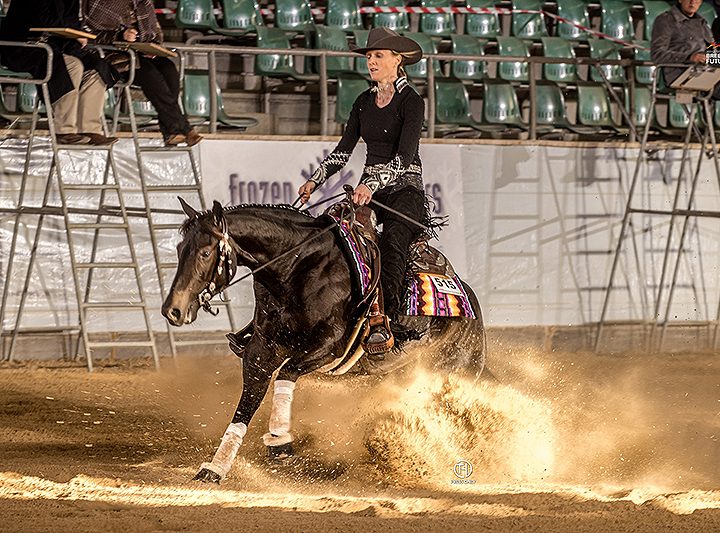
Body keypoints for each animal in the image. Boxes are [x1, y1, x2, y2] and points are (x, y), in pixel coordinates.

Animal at [161, 200, 486, 482]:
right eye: (179, 248)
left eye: (205, 252)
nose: (172, 310)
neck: (298, 268)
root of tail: (471, 306)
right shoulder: (260, 352)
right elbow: (245, 408)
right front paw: (215, 468)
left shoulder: (329, 347)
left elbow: (287, 373)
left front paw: (280, 441)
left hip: (454, 369)